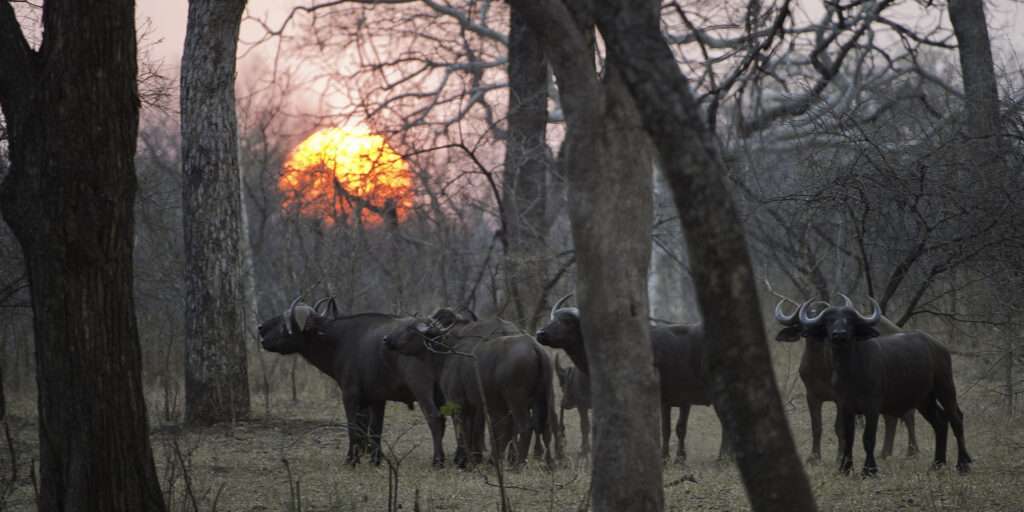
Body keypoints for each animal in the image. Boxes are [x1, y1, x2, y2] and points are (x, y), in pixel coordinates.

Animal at [258, 296, 446, 468]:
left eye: (284, 324)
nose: (260, 328)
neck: (338, 340)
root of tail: (434, 337)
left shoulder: (350, 395)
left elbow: (353, 428)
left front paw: (351, 459)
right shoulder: (377, 400)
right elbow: (375, 429)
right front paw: (375, 460)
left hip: (422, 389)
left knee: (434, 418)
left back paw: (438, 461)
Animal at [385, 311, 561, 468]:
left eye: (409, 328)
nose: (387, 338)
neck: (448, 352)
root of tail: (534, 346)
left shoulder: (458, 402)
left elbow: (462, 429)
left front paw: (463, 460)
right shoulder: (479, 405)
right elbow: (479, 430)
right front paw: (474, 459)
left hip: (516, 399)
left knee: (525, 426)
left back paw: (518, 464)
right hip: (542, 397)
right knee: (544, 426)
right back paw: (546, 463)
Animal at [536, 294, 729, 462]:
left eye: (566, 322)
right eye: (552, 318)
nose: (540, 333)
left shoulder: (682, 400)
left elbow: (678, 428)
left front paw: (678, 458)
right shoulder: (667, 401)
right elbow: (665, 428)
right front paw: (665, 457)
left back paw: (723, 458)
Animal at [774, 299, 921, 464]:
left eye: (819, 314)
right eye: (807, 314)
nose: (808, 329)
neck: (820, 366)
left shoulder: (841, 399)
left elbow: (840, 428)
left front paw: (840, 457)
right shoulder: (812, 396)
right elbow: (816, 427)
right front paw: (814, 457)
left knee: (908, 415)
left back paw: (912, 451)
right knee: (891, 418)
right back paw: (885, 453)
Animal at [794, 296, 970, 475]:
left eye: (850, 320)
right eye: (829, 320)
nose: (839, 334)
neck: (850, 370)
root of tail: (939, 347)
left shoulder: (872, 407)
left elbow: (868, 438)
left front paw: (869, 470)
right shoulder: (844, 405)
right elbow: (848, 436)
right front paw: (845, 468)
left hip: (945, 387)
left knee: (956, 418)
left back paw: (962, 464)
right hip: (924, 399)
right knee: (940, 422)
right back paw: (937, 464)